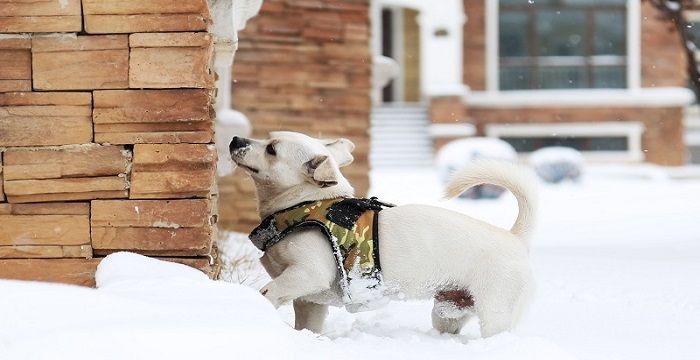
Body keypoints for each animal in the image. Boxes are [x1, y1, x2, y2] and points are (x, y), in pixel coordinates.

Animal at [230, 131, 536, 336]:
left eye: (271, 149)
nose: (235, 139)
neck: (304, 203)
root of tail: (514, 237)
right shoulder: (310, 301)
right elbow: (307, 325)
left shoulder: (308, 274)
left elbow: (269, 291)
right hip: (447, 312)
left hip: (494, 313)